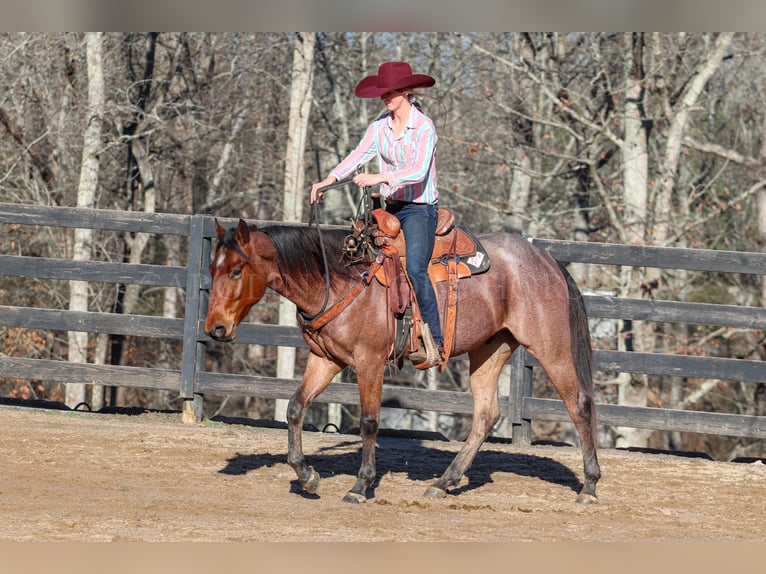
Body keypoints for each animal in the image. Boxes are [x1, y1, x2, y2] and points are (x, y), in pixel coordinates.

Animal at [207, 218, 604, 506]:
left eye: (237, 271)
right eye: (212, 269)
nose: (215, 328)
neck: (338, 279)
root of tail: (547, 260)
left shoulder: (368, 362)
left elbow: (369, 422)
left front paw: (360, 485)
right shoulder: (325, 359)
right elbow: (295, 408)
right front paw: (306, 476)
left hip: (550, 346)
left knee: (579, 404)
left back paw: (589, 486)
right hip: (490, 349)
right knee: (485, 415)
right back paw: (443, 482)